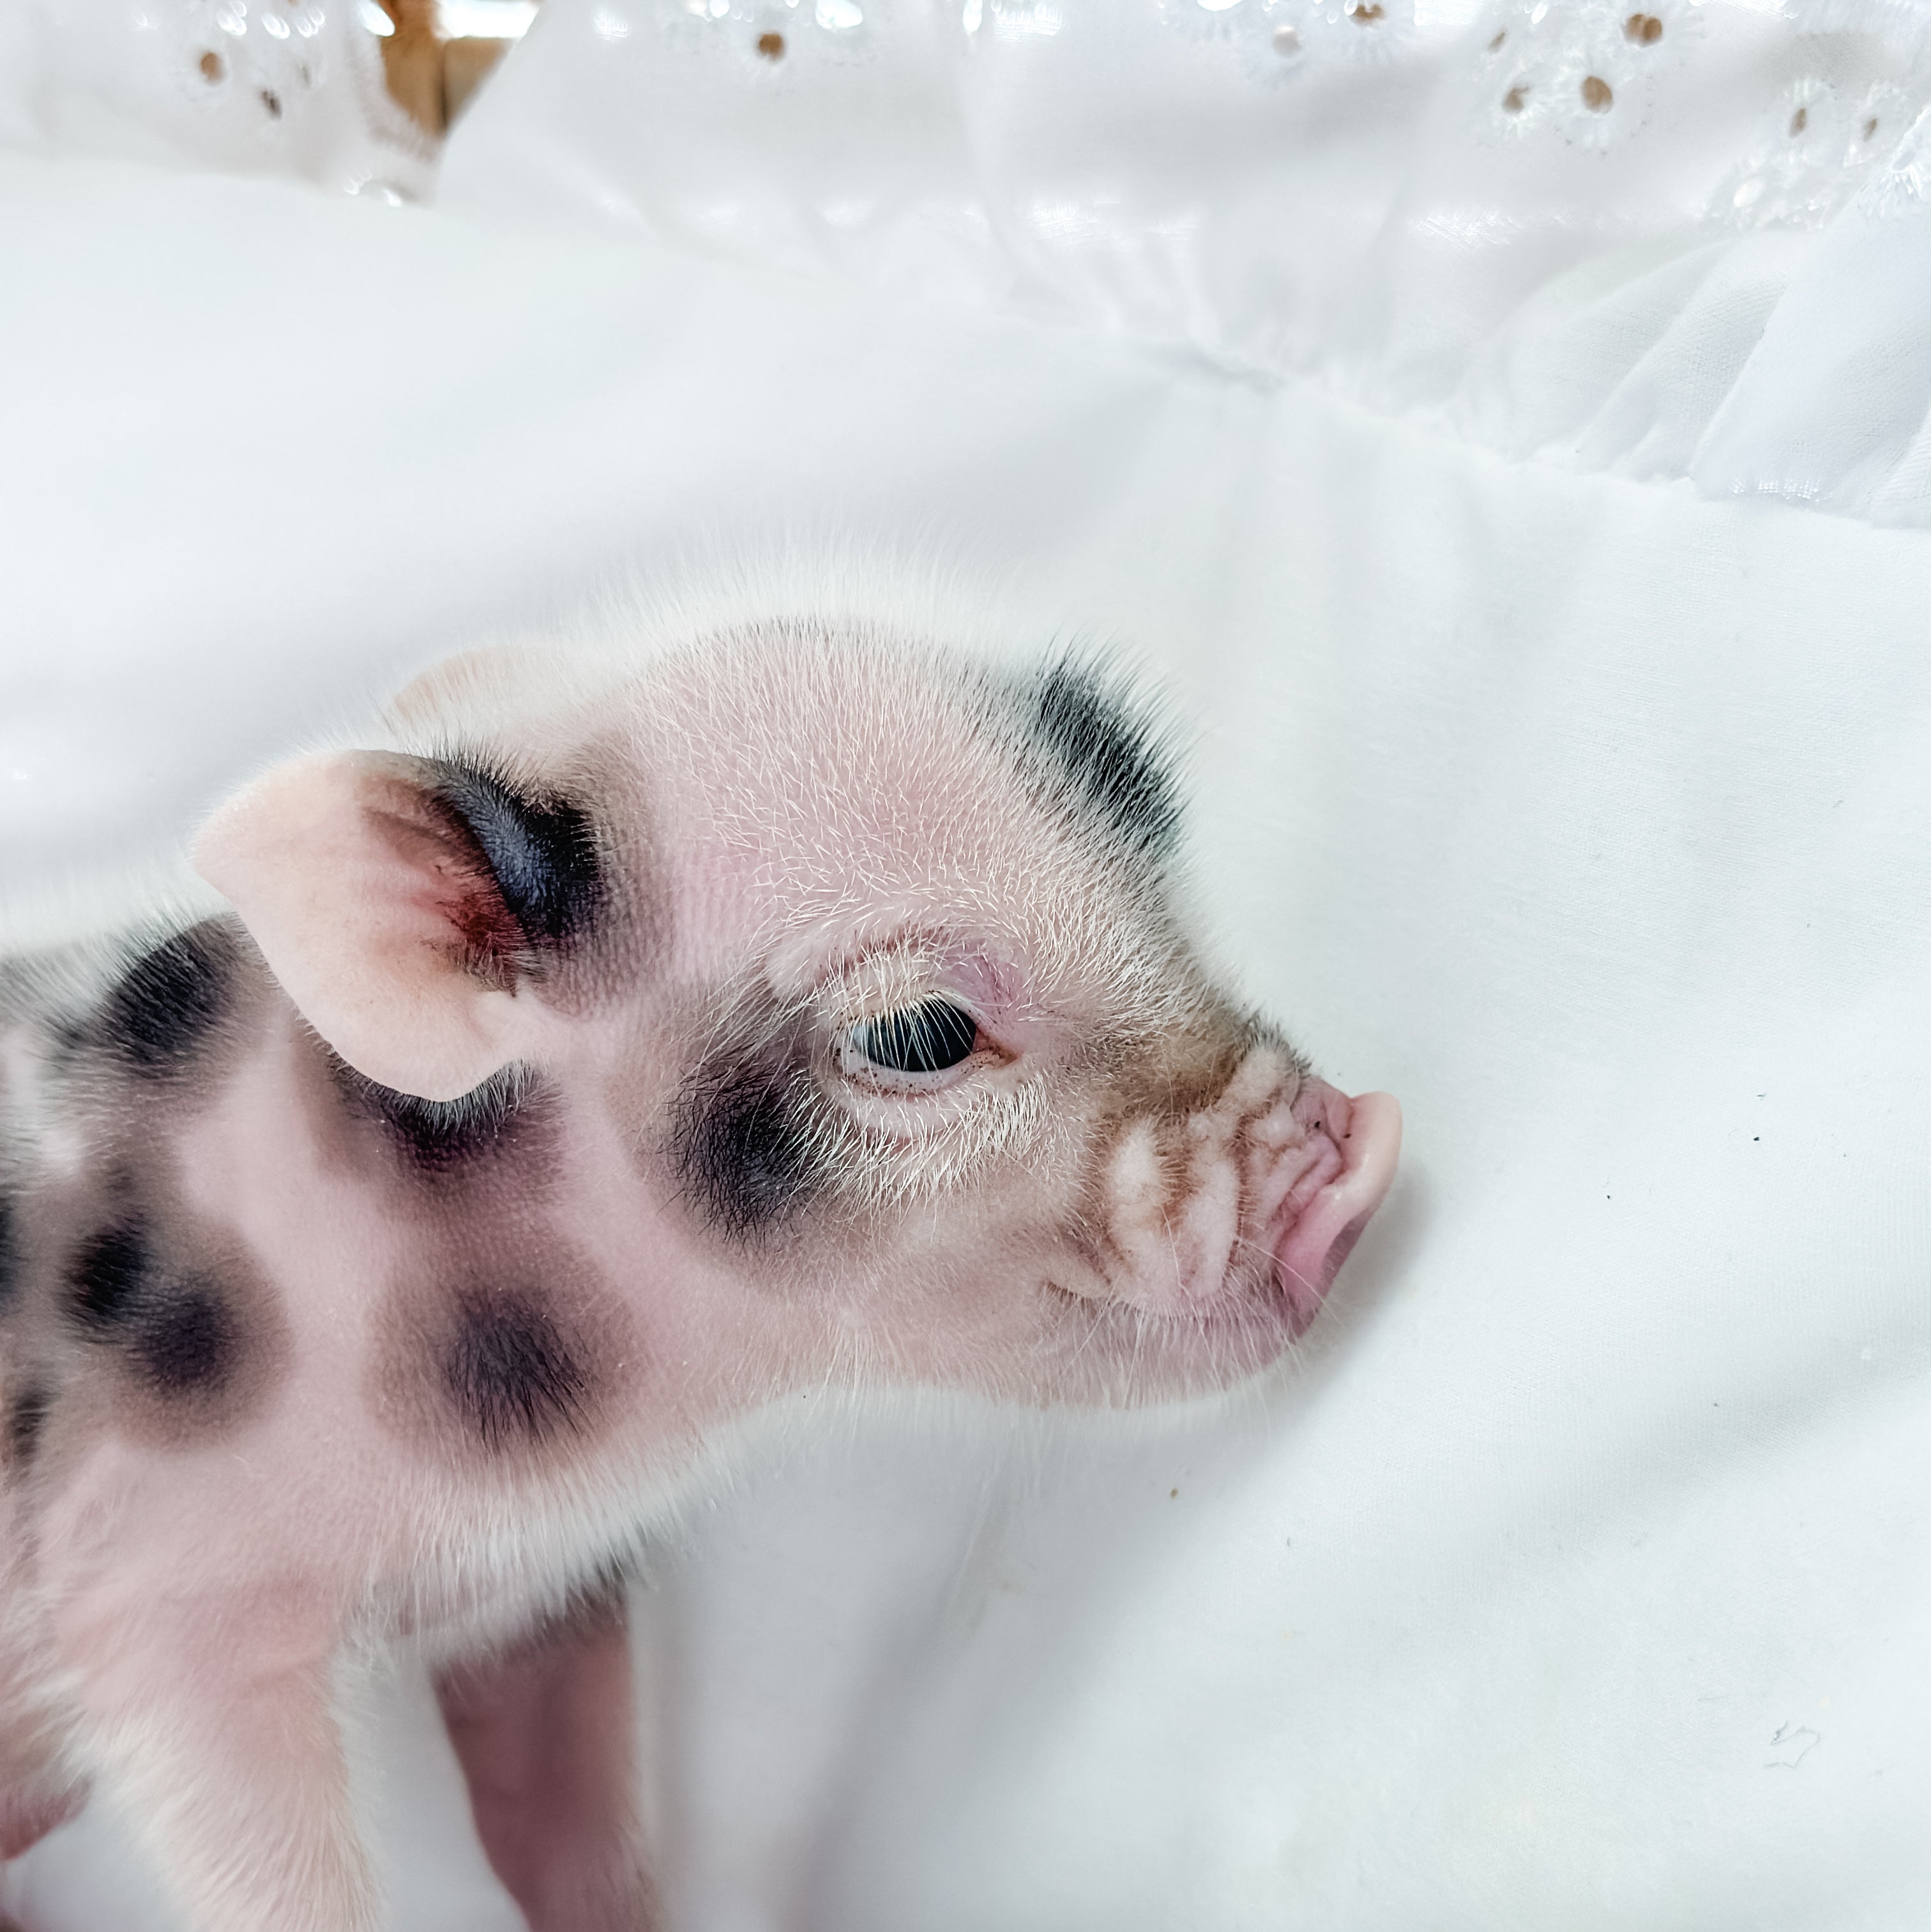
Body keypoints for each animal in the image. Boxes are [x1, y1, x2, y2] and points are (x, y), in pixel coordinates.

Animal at [0, 590, 1399, 1932]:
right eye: (917, 1034)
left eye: (1153, 873)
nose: (1364, 1155)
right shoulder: (150, 1598)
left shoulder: (541, 1586)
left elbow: (569, 1826)